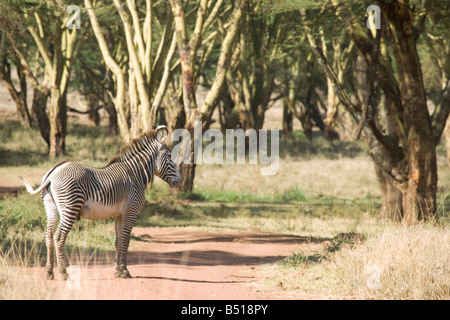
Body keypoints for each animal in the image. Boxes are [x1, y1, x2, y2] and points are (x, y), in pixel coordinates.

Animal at [19, 125, 181, 280]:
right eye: (169, 156)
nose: (179, 181)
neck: (135, 174)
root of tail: (53, 173)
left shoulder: (119, 215)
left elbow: (118, 241)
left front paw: (117, 270)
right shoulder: (131, 212)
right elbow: (126, 241)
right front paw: (124, 271)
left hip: (51, 208)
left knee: (48, 236)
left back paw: (49, 272)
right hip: (70, 206)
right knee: (58, 236)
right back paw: (63, 273)